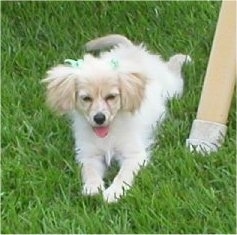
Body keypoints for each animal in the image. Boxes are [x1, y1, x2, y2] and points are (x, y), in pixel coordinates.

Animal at [42, 34, 191, 203]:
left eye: (111, 97)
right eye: (86, 98)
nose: (99, 118)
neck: (107, 133)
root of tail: (131, 48)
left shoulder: (134, 155)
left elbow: (123, 174)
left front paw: (114, 192)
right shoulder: (89, 155)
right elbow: (90, 172)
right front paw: (92, 188)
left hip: (172, 89)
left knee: (174, 71)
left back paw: (182, 58)